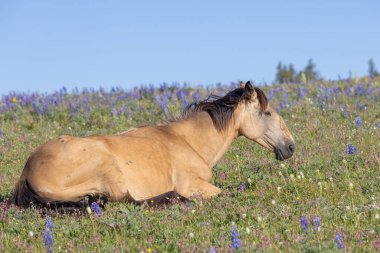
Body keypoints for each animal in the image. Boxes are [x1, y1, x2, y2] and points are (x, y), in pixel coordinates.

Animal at [8, 81, 296, 208]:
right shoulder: (194, 185)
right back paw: (173, 198)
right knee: (125, 199)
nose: (291, 147)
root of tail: (26, 171)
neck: (188, 142)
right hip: (108, 167)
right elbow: (225, 193)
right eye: (267, 113)